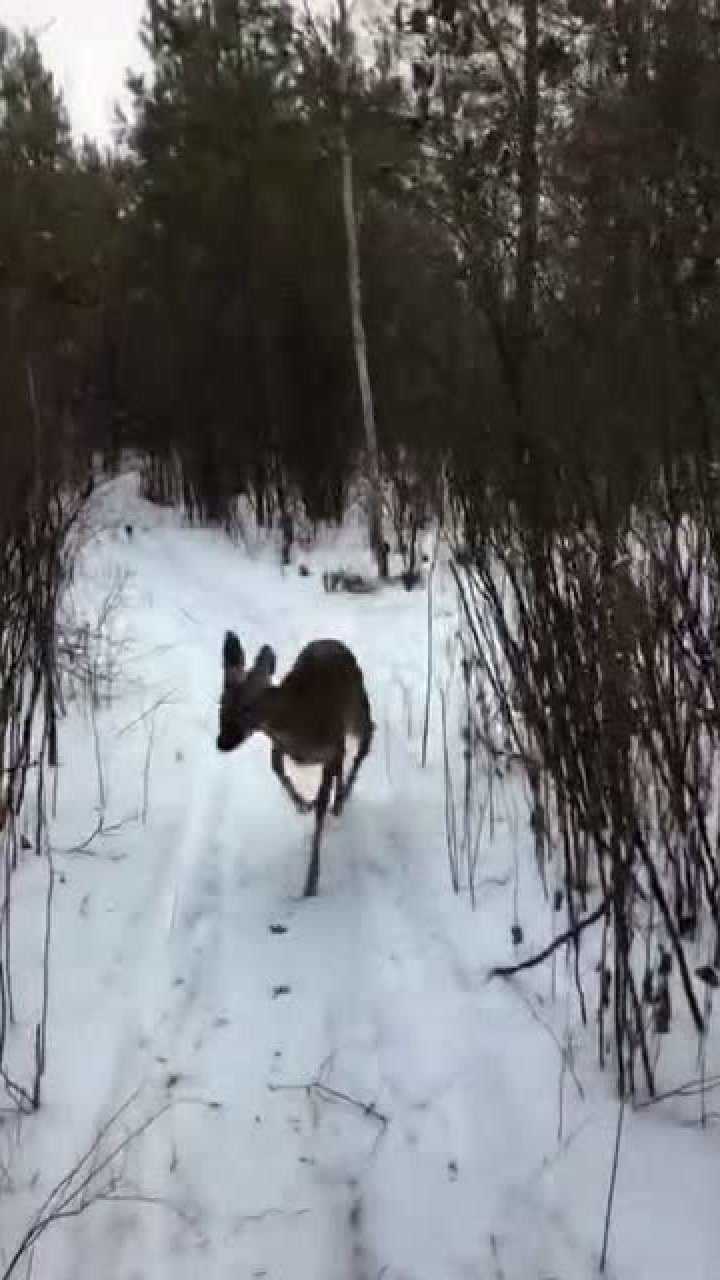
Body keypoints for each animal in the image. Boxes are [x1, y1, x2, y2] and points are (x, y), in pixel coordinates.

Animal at [213, 632, 371, 896]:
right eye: (220, 703)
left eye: (247, 708)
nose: (222, 742)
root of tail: (333, 641)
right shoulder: (282, 745)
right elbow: (276, 767)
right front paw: (302, 804)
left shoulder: (330, 745)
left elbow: (320, 812)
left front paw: (311, 884)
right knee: (345, 759)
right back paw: (335, 801)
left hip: (357, 707)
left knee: (367, 738)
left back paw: (341, 799)